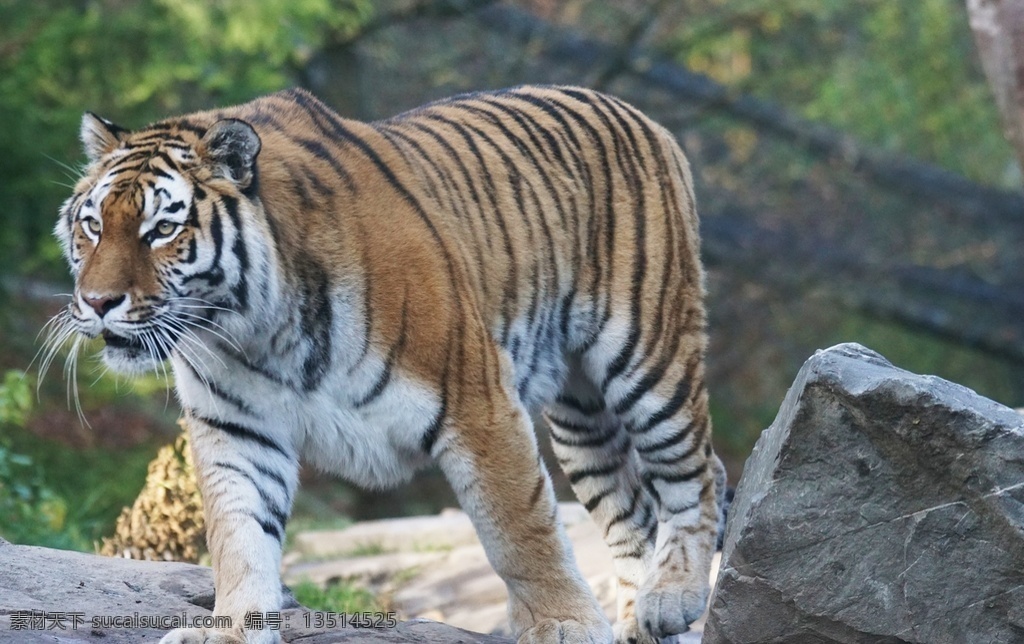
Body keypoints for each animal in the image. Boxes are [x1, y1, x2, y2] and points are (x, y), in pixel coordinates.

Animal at [51, 85, 727, 644]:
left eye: (161, 230)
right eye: (93, 226)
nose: (98, 302)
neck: (255, 328)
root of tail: (638, 114)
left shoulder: (477, 402)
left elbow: (520, 530)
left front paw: (562, 626)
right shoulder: (237, 428)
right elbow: (239, 538)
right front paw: (233, 633)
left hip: (647, 357)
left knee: (694, 474)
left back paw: (672, 598)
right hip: (580, 414)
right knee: (635, 509)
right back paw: (641, 624)